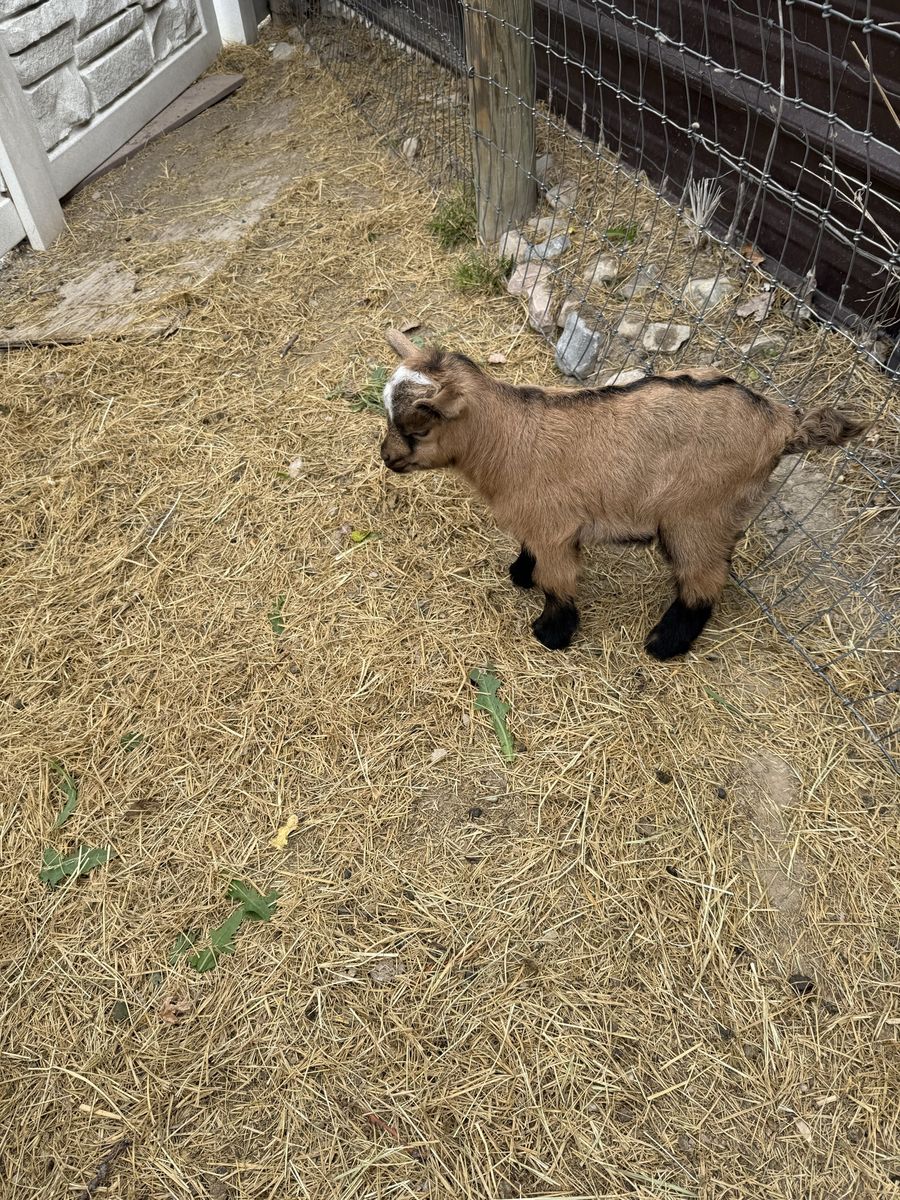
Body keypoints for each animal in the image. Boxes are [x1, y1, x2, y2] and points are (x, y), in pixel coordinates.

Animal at [379, 329, 867, 659]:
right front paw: (520, 572)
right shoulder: (538, 523)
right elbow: (529, 552)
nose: (386, 458)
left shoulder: (554, 528)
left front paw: (552, 634)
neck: (508, 438)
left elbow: (557, 583)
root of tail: (780, 423)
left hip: (697, 514)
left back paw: (664, 643)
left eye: (417, 429)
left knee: (704, 580)